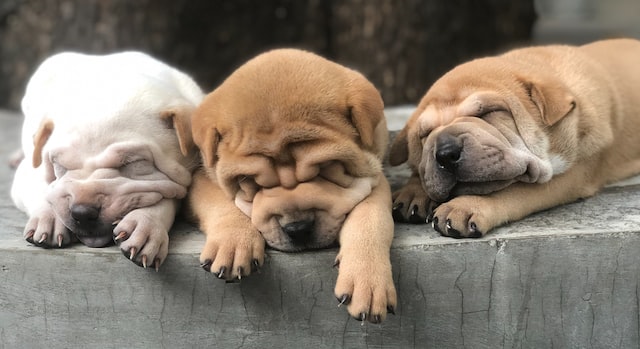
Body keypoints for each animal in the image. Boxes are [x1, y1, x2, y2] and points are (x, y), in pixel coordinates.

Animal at [11, 51, 204, 270]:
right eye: (59, 166)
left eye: (132, 163)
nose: (82, 212)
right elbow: (45, 188)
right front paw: (49, 216)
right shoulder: (30, 171)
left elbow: (167, 198)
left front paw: (145, 225)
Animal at [182, 47, 398, 322]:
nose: (298, 229)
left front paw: (367, 282)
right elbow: (221, 202)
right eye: (248, 181)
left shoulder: (374, 178)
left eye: (326, 168)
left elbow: (370, 220)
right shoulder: (201, 176)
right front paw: (233, 244)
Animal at [388, 39, 640, 238]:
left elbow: (514, 189)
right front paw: (414, 191)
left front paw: (466, 206)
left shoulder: (574, 174)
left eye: (489, 112)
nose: (446, 153)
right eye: (424, 134)